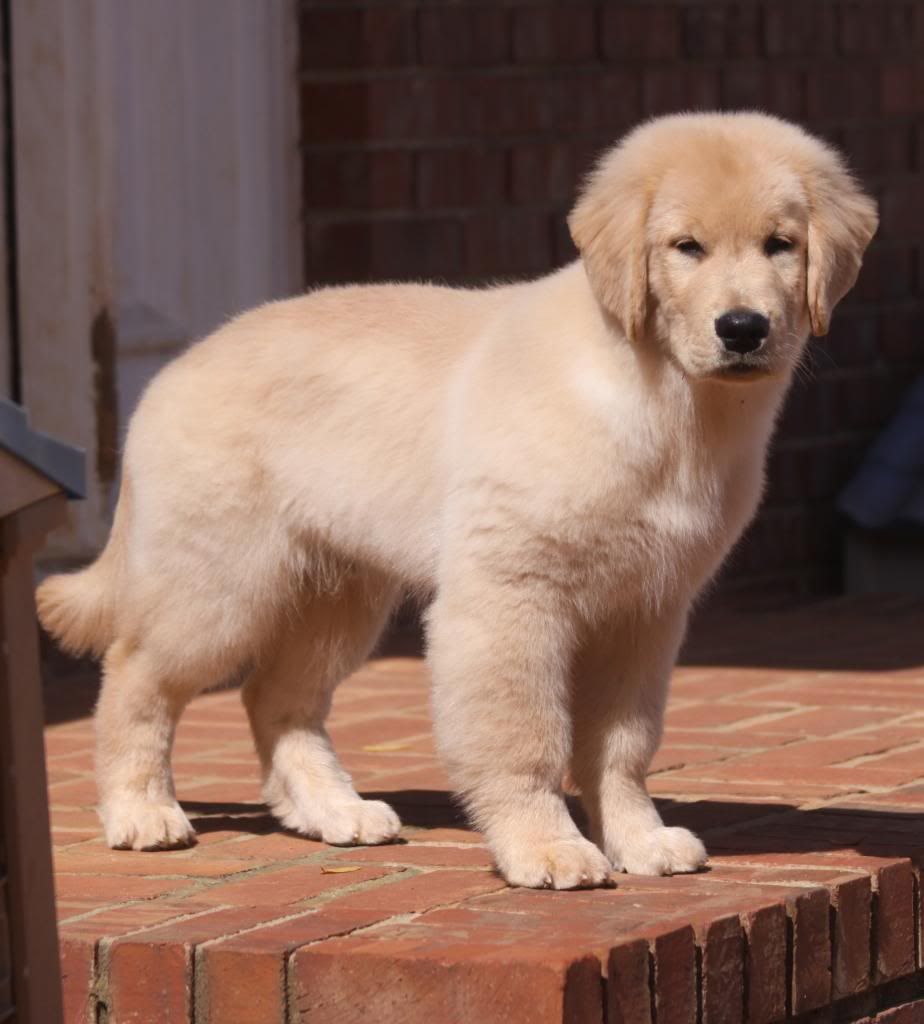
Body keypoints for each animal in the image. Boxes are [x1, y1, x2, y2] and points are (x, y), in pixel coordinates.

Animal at [34, 112, 876, 888]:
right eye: (685, 247)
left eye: (780, 244)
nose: (743, 328)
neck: (663, 399)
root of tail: (171, 373)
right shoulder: (509, 594)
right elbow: (523, 737)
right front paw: (546, 848)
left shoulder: (644, 609)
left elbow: (622, 745)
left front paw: (637, 839)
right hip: (222, 583)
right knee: (135, 673)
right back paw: (142, 810)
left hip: (336, 594)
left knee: (275, 698)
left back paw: (333, 811)